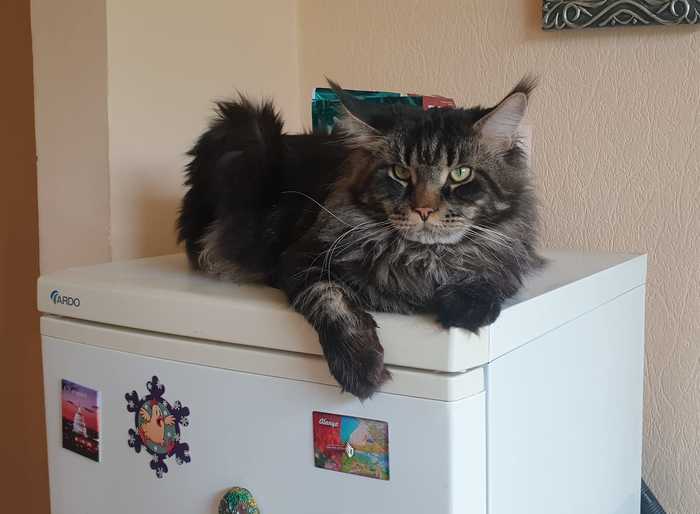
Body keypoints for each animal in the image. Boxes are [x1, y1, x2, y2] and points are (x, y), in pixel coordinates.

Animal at [178, 77, 544, 396]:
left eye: (460, 173)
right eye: (400, 172)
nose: (424, 209)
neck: (422, 259)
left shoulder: (512, 254)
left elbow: (492, 272)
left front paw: (466, 307)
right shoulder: (300, 258)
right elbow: (332, 300)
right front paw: (360, 365)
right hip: (246, 129)